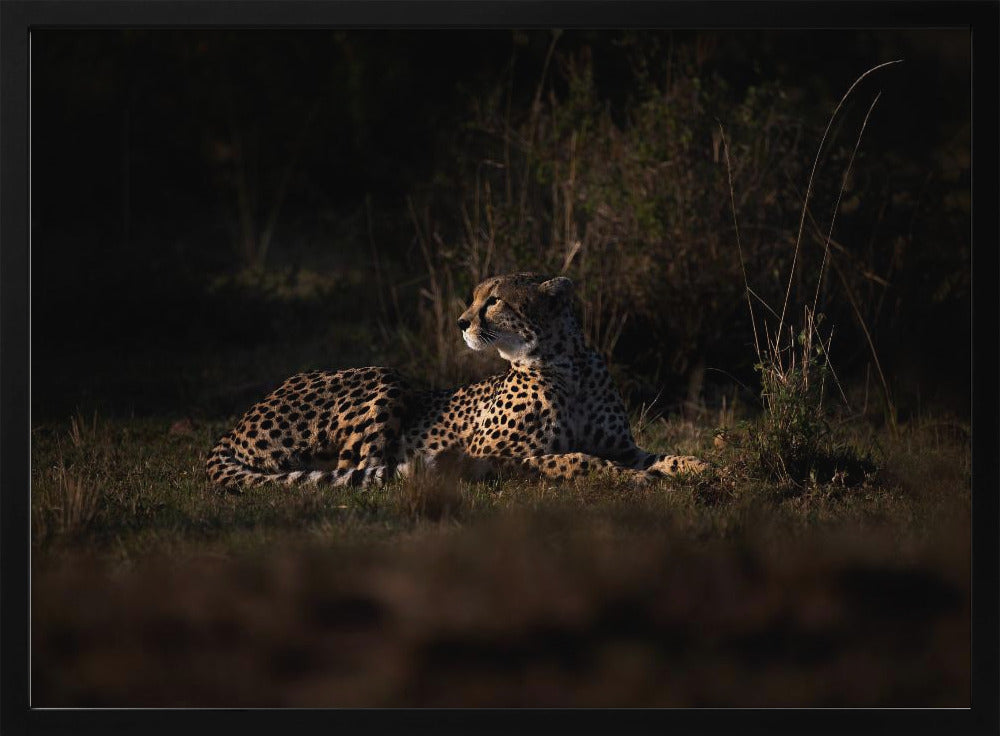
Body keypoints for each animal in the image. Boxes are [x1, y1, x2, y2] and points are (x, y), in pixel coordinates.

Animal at [205, 273, 706, 489]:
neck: (567, 366)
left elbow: (663, 455)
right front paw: (633, 479)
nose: (462, 322)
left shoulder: (622, 444)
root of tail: (236, 424)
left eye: (495, 300)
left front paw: (703, 468)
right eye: (475, 297)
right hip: (385, 375)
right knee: (357, 468)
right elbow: (576, 458)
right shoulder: (495, 454)